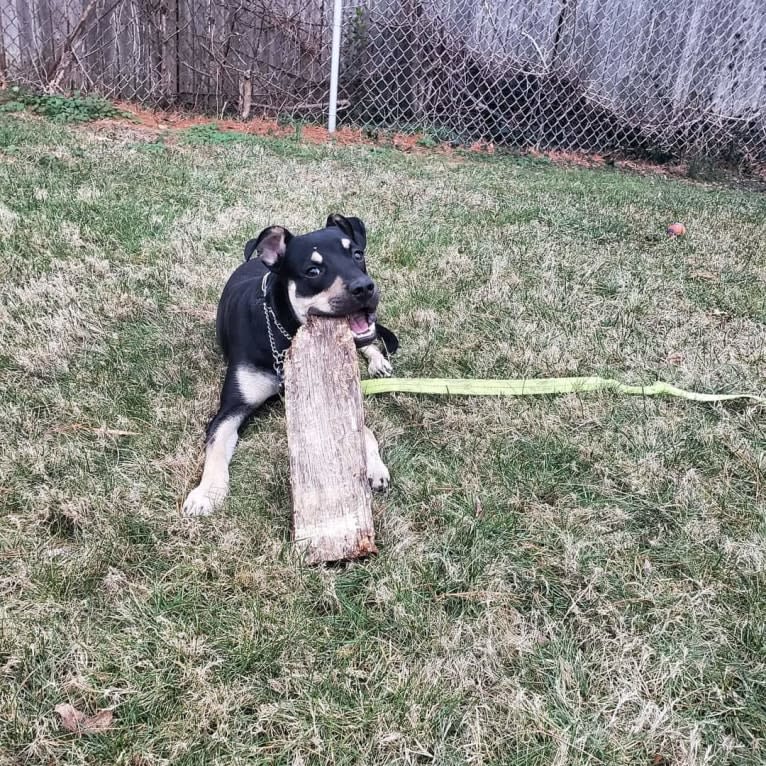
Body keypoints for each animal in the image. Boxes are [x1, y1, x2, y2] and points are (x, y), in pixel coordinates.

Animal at [184, 213, 400, 520]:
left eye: (357, 254)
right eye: (313, 271)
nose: (365, 288)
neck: (285, 333)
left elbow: (365, 430)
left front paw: (374, 465)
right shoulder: (231, 408)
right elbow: (216, 446)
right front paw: (206, 492)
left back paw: (378, 361)